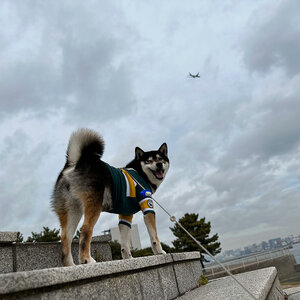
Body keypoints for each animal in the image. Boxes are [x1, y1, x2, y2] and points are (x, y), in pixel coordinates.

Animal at [51, 127, 169, 266]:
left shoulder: (126, 215)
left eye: (161, 159)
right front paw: (160, 252)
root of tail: (76, 163)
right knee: (85, 229)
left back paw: (69, 264)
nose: (159, 164)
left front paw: (128, 258)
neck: (140, 173)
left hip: (72, 210)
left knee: (66, 236)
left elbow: (124, 242)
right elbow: (154, 236)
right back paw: (86, 259)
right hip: (93, 205)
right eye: (149, 161)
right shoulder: (148, 206)